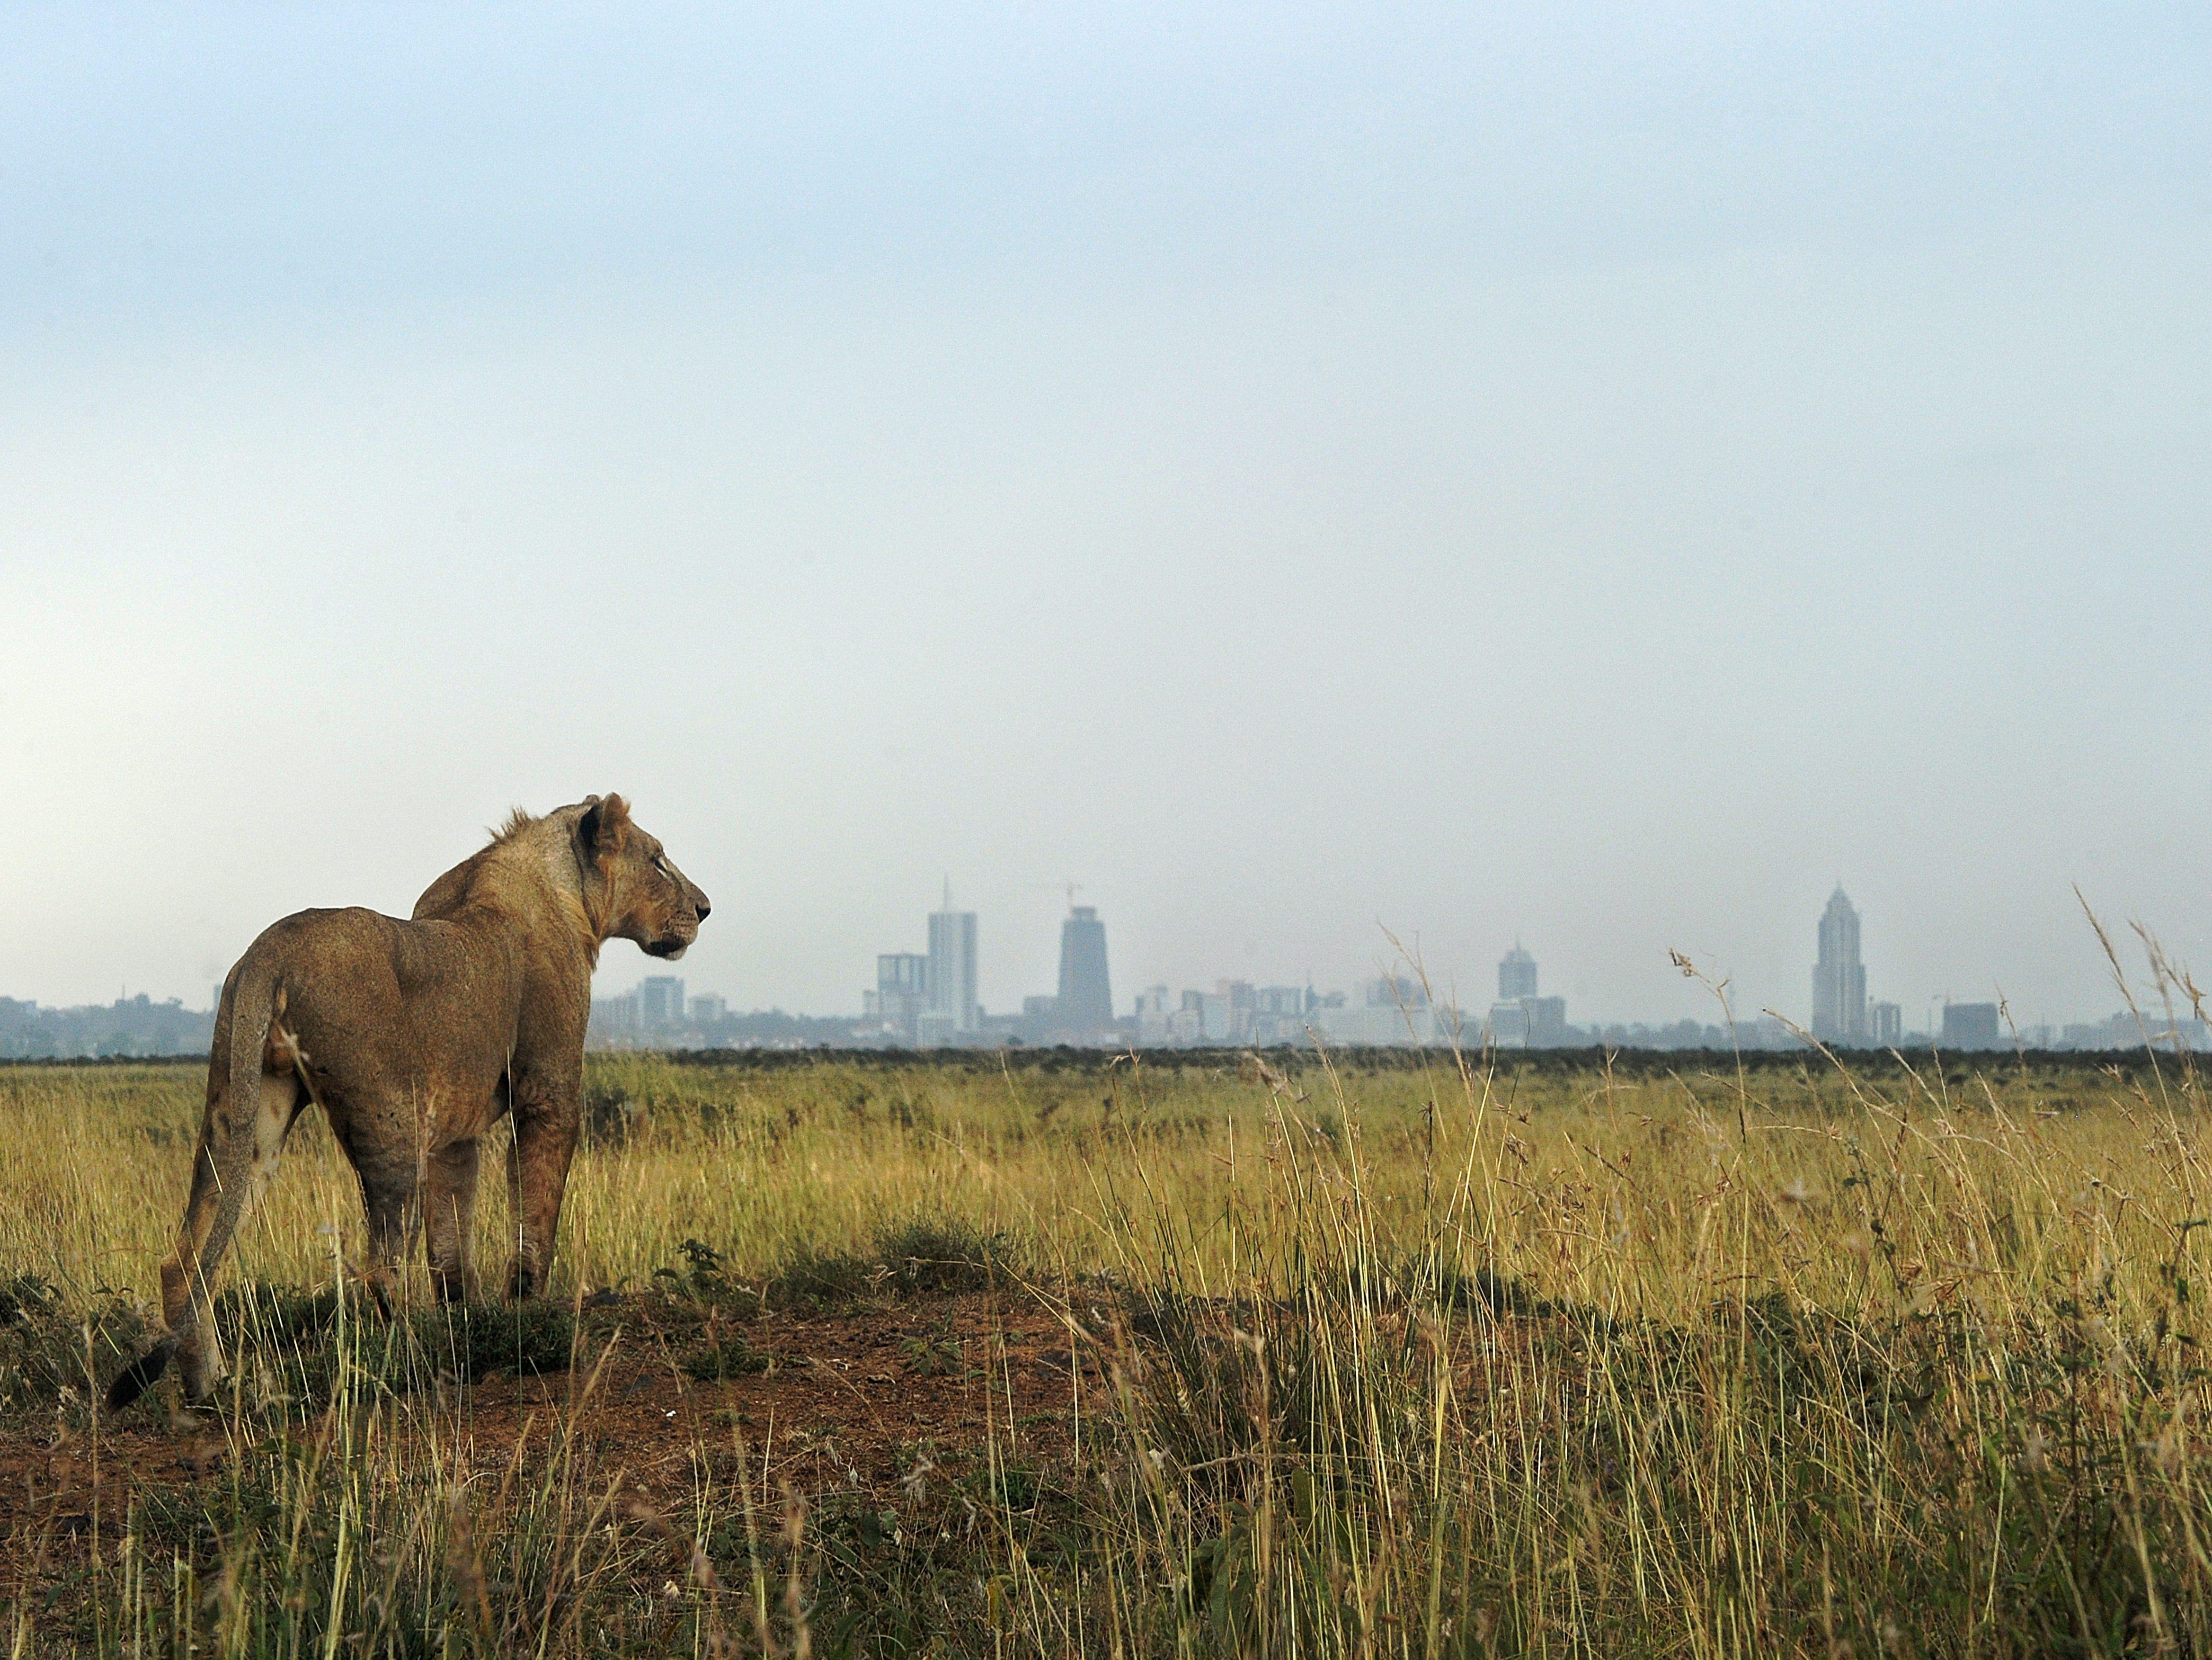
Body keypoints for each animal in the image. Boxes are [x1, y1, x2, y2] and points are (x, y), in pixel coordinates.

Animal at [106, 794, 710, 1410]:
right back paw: (421, 1370)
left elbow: (452, 1245)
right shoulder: (548, 1093)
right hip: (392, 1124)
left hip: (247, 1114)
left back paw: (214, 1390)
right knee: (380, 1267)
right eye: (658, 859)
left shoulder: (455, 1134)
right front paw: (529, 1322)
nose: (705, 908)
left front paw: (471, 1324)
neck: (562, 888)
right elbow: (533, 1223)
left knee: (188, 1258)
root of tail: (269, 949)